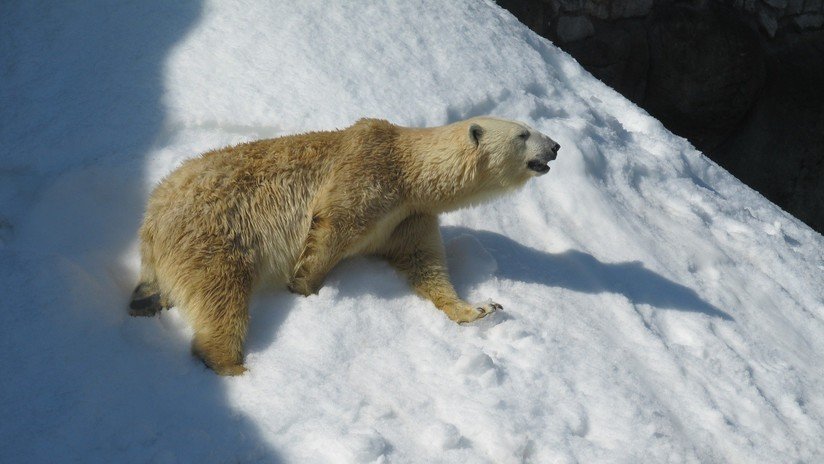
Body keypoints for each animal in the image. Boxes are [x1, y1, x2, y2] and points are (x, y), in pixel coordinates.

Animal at [129, 116, 560, 375]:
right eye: (523, 133)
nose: (555, 146)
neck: (411, 172)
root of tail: (151, 216)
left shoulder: (409, 218)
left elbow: (425, 266)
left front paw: (480, 309)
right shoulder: (367, 173)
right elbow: (334, 225)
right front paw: (305, 286)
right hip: (213, 232)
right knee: (221, 294)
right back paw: (236, 366)